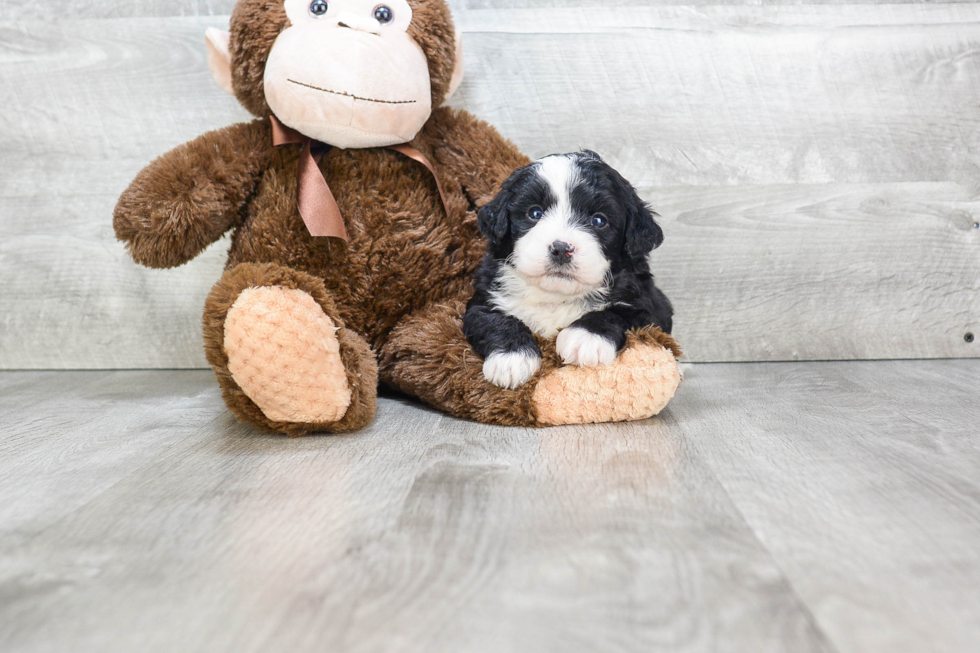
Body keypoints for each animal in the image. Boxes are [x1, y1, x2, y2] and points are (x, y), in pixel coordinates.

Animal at [464, 150, 668, 390]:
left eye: (599, 220)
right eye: (535, 213)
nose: (561, 249)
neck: (556, 296)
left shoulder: (648, 310)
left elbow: (616, 313)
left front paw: (585, 338)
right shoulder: (484, 299)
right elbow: (495, 319)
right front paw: (512, 358)